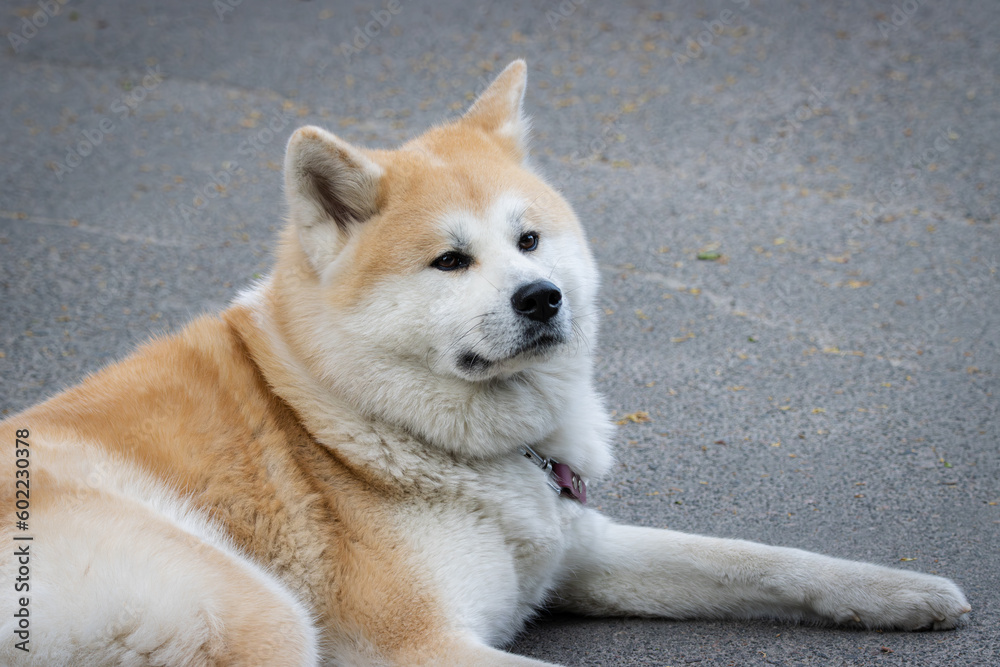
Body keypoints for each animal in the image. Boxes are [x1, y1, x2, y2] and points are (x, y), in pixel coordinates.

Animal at [0, 60, 968, 664]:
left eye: (528, 239)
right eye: (450, 260)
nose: (543, 297)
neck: (345, 412)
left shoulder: (579, 551)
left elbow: (768, 560)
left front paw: (903, 592)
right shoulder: (423, 644)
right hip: (258, 612)